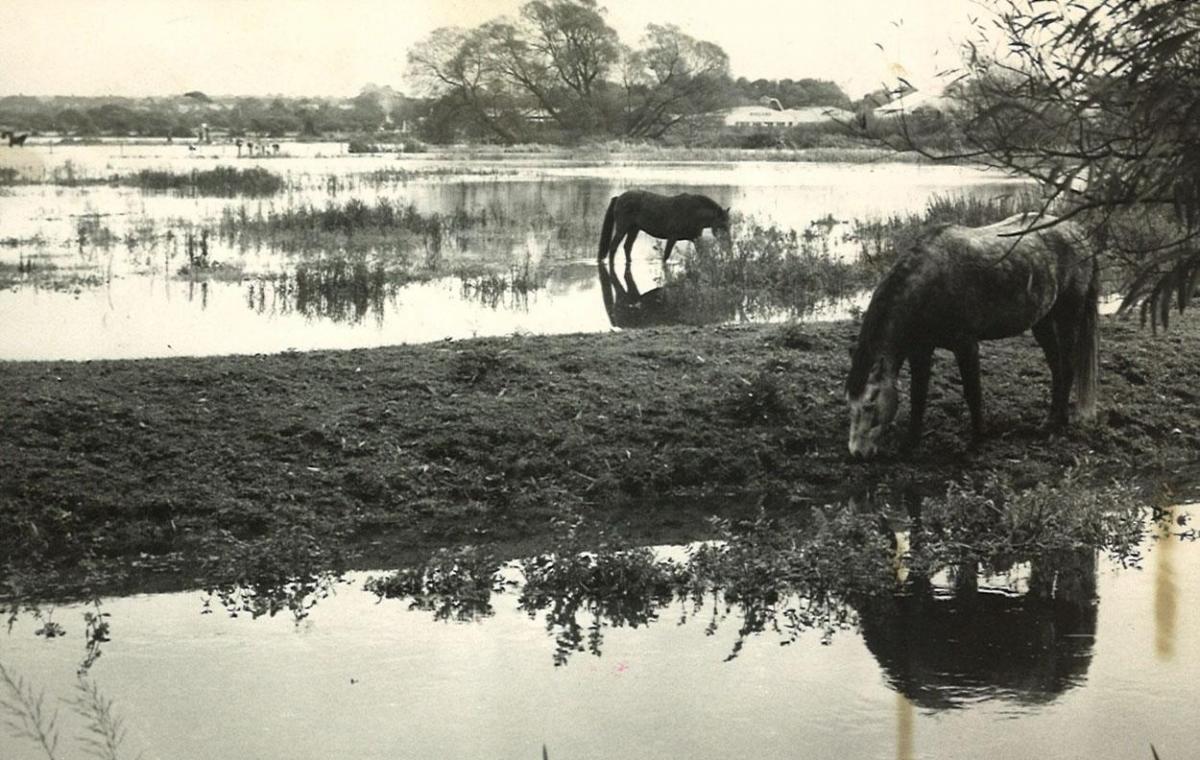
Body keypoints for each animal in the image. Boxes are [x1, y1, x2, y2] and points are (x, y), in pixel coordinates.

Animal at [600, 188, 729, 264]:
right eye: (722, 225)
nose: (728, 245)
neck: (693, 212)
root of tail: (619, 197)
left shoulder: (695, 238)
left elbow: (703, 255)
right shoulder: (672, 238)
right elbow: (666, 256)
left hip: (634, 229)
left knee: (627, 246)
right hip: (622, 228)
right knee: (613, 247)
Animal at [844, 210, 1099, 456]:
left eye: (870, 403)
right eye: (850, 403)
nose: (857, 453)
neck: (930, 283)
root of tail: (1077, 231)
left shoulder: (966, 346)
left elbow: (972, 392)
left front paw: (978, 440)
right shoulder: (920, 350)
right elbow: (918, 395)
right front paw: (910, 444)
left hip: (1068, 317)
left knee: (1067, 367)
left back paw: (1056, 426)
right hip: (1043, 322)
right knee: (1057, 368)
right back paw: (1052, 420)